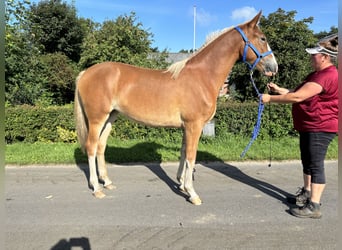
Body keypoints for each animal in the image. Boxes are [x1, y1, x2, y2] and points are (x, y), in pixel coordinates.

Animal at [75, 11, 278, 205]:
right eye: (262, 38)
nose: (274, 67)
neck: (202, 76)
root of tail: (85, 73)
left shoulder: (186, 126)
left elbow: (183, 152)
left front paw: (181, 184)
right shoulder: (194, 125)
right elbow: (191, 156)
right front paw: (192, 193)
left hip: (111, 117)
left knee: (101, 146)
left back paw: (107, 182)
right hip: (97, 118)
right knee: (92, 146)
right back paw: (97, 188)